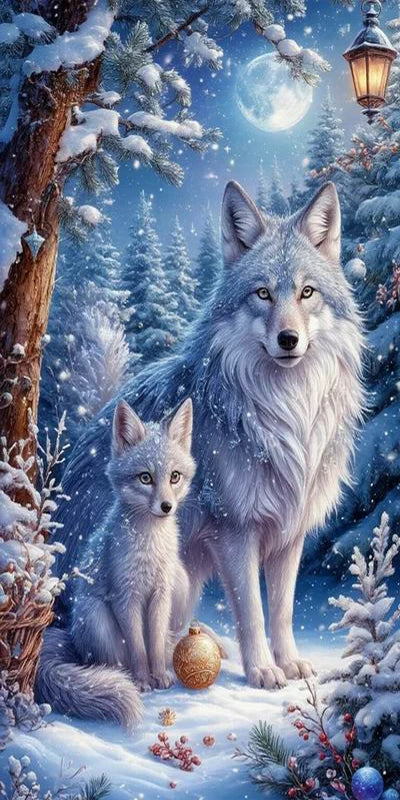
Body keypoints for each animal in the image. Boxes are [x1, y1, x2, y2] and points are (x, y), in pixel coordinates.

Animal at [37, 399, 195, 727]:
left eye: (174, 476)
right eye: (145, 477)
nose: (166, 506)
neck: (150, 547)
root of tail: (71, 636)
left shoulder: (161, 593)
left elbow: (154, 644)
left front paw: (159, 676)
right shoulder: (125, 596)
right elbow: (137, 648)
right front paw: (144, 681)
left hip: (181, 586)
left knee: (167, 641)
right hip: (96, 618)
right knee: (109, 664)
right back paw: (124, 677)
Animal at [55, 180, 364, 690]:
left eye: (307, 292)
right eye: (262, 294)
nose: (288, 340)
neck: (286, 416)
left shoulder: (290, 533)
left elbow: (281, 611)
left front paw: (290, 663)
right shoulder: (235, 531)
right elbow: (253, 612)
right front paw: (263, 670)